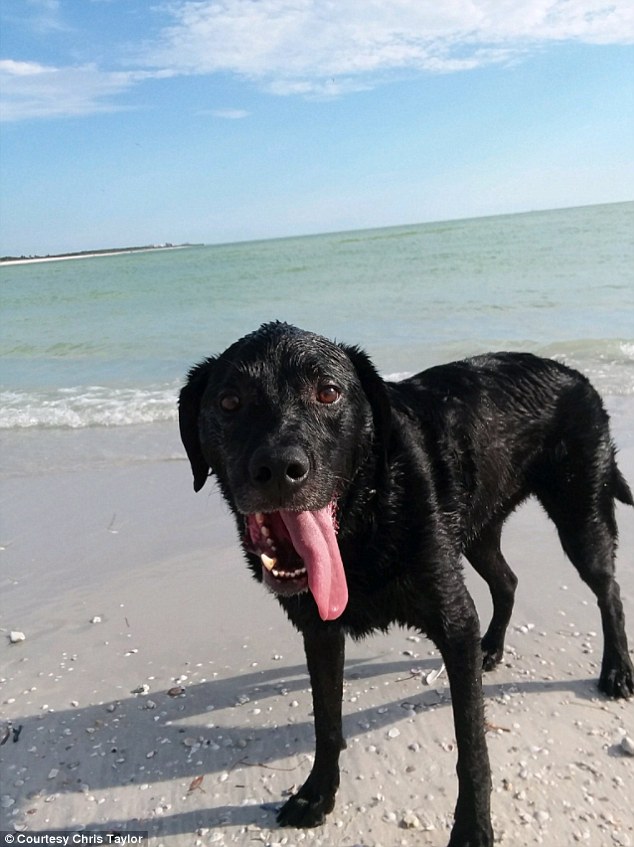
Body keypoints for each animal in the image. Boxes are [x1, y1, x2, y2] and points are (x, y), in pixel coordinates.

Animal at [179, 322, 632, 844]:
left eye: (328, 392)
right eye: (229, 401)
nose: (277, 469)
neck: (368, 513)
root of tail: (574, 374)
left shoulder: (452, 620)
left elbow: (471, 745)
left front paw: (473, 825)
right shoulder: (320, 631)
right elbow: (326, 723)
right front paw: (317, 793)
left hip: (580, 514)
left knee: (608, 589)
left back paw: (617, 670)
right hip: (478, 532)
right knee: (508, 581)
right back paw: (492, 647)